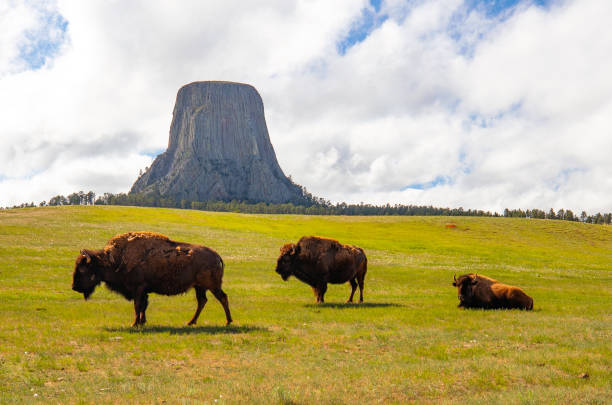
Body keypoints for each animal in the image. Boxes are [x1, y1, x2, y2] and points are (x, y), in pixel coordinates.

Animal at [71, 230, 233, 326]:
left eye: (83, 270)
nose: (74, 287)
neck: (117, 259)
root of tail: (216, 255)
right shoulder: (144, 291)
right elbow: (143, 305)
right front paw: (142, 322)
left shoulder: (138, 288)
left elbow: (137, 305)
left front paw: (134, 324)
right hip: (199, 287)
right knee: (202, 301)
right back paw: (191, 322)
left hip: (212, 286)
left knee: (222, 298)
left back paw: (228, 321)